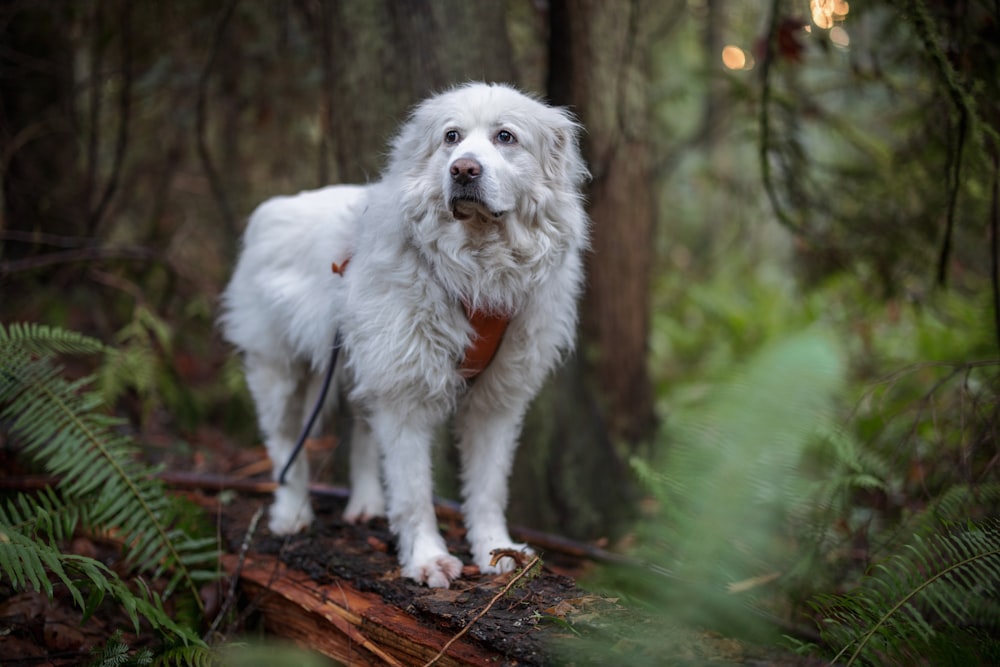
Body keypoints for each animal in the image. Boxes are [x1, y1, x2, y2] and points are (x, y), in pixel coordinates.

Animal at [223, 81, 588, 588]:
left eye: (506, 137)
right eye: (451, 137)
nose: (463, 170)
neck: (476, 267)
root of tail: (272, 208)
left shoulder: (496, 402)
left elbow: (489, 488)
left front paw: (497, 551)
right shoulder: (407, 392)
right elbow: (414, 491)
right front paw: (427, 559)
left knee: (361, 428)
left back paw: (366, 505)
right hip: (281, 371)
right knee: (284, 445)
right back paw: (292, 513)